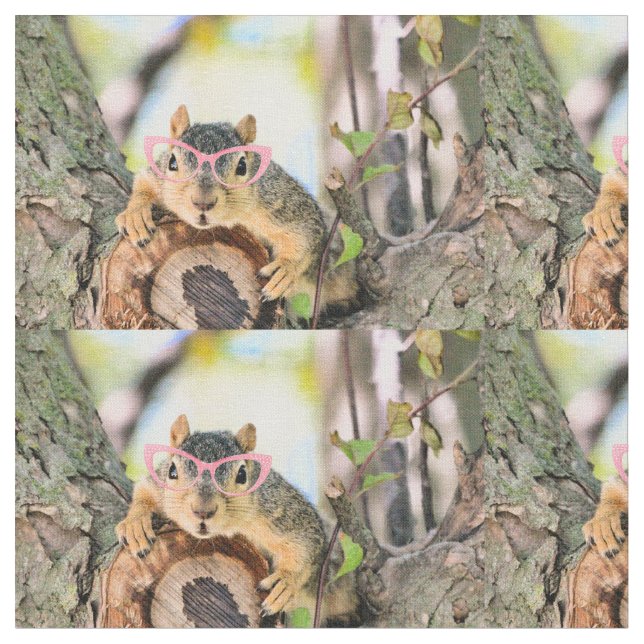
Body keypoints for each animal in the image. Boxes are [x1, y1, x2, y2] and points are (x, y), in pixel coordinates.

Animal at [115, 105, 356, 309]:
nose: (203, 202)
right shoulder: (157, 176)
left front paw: (285, 270)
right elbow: (144, 182)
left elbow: (306, 231)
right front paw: (135, 214)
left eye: (242, 166)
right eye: (172, 162)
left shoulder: (282, 202)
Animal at [116, 414, 356, 622]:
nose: (203, 511)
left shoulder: (282, 511)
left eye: (242, 475)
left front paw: (285, 582)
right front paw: (135, 524)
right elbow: (144, 491)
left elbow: (305, 542)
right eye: (172, 471)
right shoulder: (158, 486)